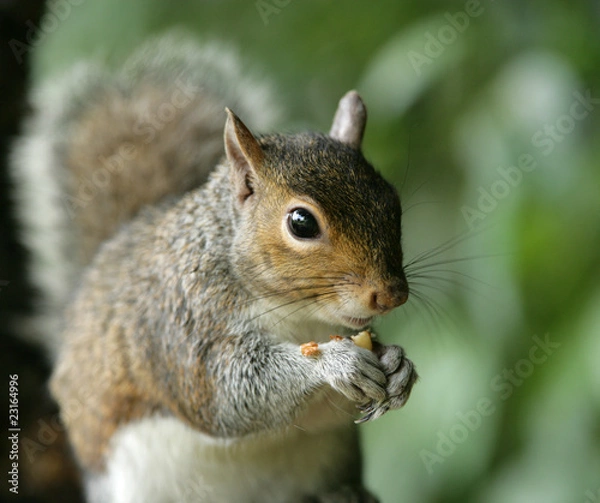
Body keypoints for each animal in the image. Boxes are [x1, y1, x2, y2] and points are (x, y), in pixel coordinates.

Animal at [11, 33, 420, 502]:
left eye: (392, 202)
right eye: (301, 223)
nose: (392, 294)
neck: (297, 315)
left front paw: (399, 366)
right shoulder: (179, 325)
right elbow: (228, 394)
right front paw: (336, 364)